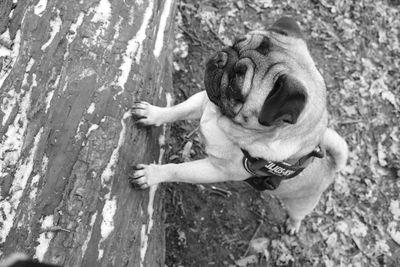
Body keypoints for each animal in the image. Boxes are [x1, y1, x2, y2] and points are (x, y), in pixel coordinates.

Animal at [130, 17, 346, 234]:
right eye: (234, 43)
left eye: (236, 83)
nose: (221, 58)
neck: (224, 121)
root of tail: (330, 166)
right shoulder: (203, 101)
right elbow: (176, 111)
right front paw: (151, 114)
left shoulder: (215, 170)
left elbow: (178, 170)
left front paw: (152, 174)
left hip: (300, 203)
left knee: (298, 215)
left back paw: (293, 226)